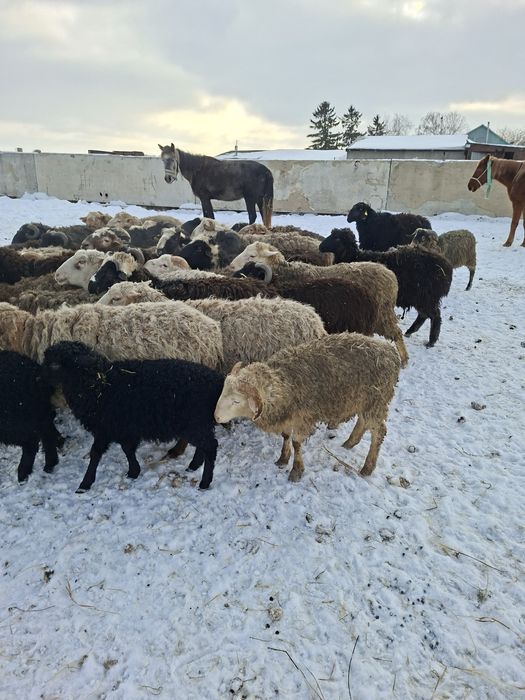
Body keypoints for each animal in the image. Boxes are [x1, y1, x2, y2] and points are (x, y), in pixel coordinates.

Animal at [0, 350, 60, 483]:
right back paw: (50, 463)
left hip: (16, 418)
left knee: (31, 442)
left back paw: (23, 473)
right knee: (48, 430)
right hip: (37, 411)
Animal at [43, 341, 223, 492]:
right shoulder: (124, 428)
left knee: (211, 447)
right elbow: (127, 449)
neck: (97, 384)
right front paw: (133, 472)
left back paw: (204, 482)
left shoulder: (104, 427)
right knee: (203, 446)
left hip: (195, 422)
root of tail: (216, 380)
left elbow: (95, 454)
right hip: (197, 423)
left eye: (54, 364)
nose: (39, 377)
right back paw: (194, 465)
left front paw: (85, 484)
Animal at [214, 333, 401, 481]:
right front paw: (283, 459)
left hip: (377, 401)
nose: (216, 417)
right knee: (362, 421)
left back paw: (367, 467)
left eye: (236, 401)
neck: (284, 383)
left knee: (379, 432)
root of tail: (390, 351)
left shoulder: (303, 418)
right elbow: (285, 436)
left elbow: (296, 443)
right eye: (223, 391)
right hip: (365, 400)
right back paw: (349, 443)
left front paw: (296, 470)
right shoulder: (288, 416)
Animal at [320, 228, 453, 347]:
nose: (321, 246)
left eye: (337, 238)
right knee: (423, 315)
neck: (354, 257)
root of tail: (446, 267)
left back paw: (431, 341)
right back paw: (410, 332)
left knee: (435, 316)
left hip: (427, 297)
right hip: (422, 298)